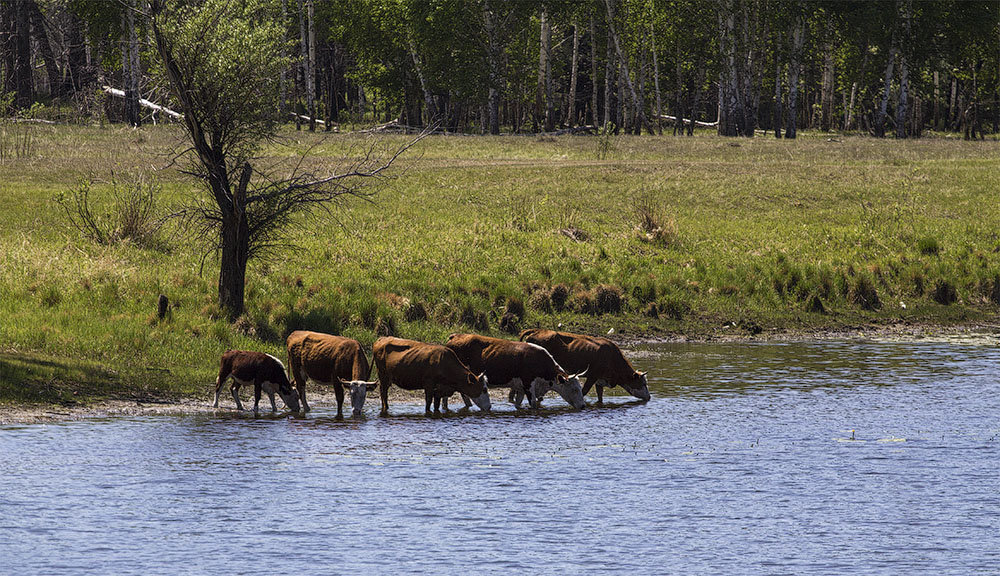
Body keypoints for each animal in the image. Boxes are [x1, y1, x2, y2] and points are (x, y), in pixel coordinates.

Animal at [444, 332, 584, 410]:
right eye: (574, 389)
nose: (583, 406)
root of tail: (455, 336)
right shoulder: (529, 385)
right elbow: (533, 404)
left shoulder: (520, 388)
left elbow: (518, 404)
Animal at [520, 328, 652, 404]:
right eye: (643, 384)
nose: (650, 397)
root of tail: (538, 331)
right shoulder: (592, 376)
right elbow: (584, 391)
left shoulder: (600, 380)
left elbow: (600, 396)